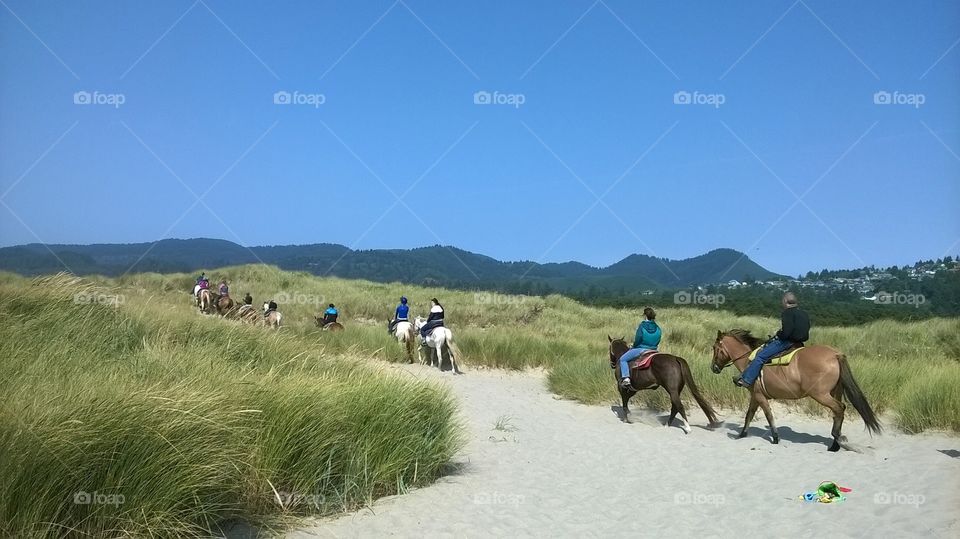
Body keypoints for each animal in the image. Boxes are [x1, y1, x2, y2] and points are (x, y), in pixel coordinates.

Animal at [711, 329, 881, 451]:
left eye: (715, 348)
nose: (713, 368)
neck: (749, 360)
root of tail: (835, 354)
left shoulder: (759, 395)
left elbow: (768, 416)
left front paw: (775, 438)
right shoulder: (755, 396)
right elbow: (749, 415)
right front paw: (742, 435)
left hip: (821, 395)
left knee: (840, 409)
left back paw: (836, 441)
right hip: (835, 392)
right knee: (837, 413)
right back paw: (835, 443)